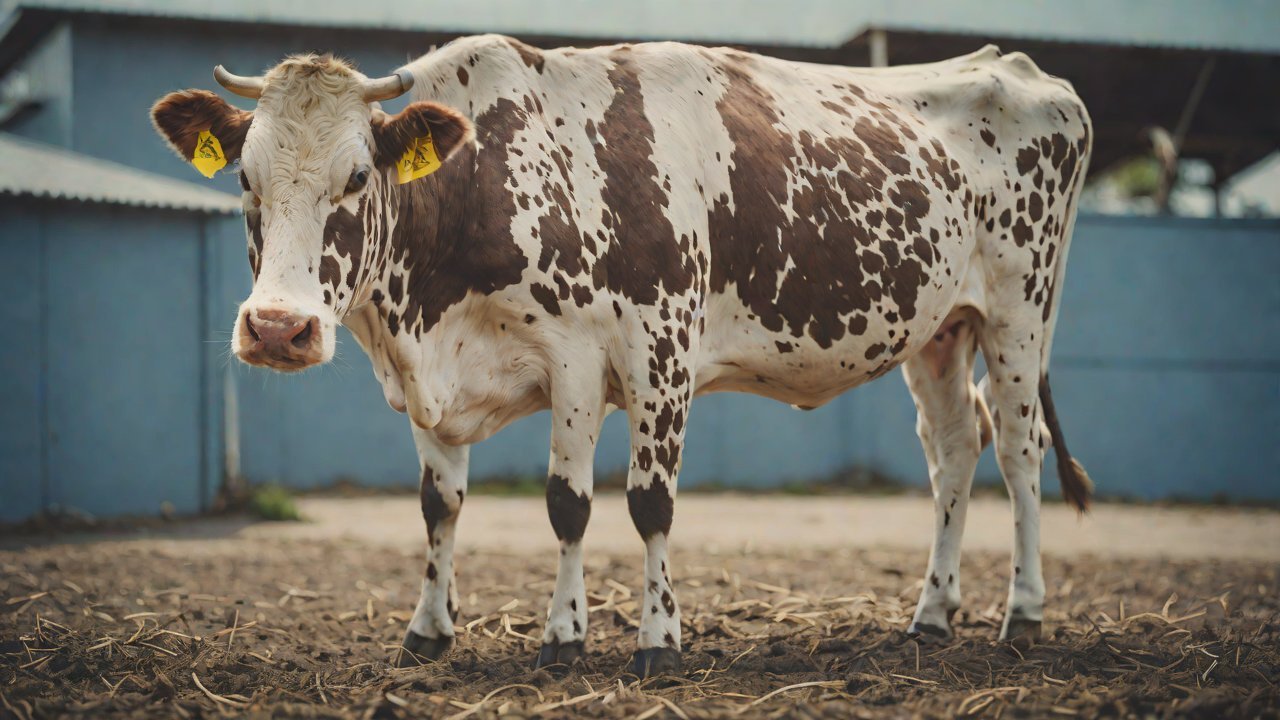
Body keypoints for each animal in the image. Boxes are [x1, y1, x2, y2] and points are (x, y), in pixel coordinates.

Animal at [151, 34, 1094, 676]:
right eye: (244, 180)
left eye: (355, 179)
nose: (278, 329)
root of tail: (1017, 66)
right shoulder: (434, 383)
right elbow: (439, 506)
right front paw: (428, 630)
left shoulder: (631, 356)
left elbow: (605, 504)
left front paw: (623, 638)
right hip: (937, 330)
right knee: (954, 452)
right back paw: (931, 616)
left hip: (1022, 312)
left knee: (1020, 452)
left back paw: (1024, 614)